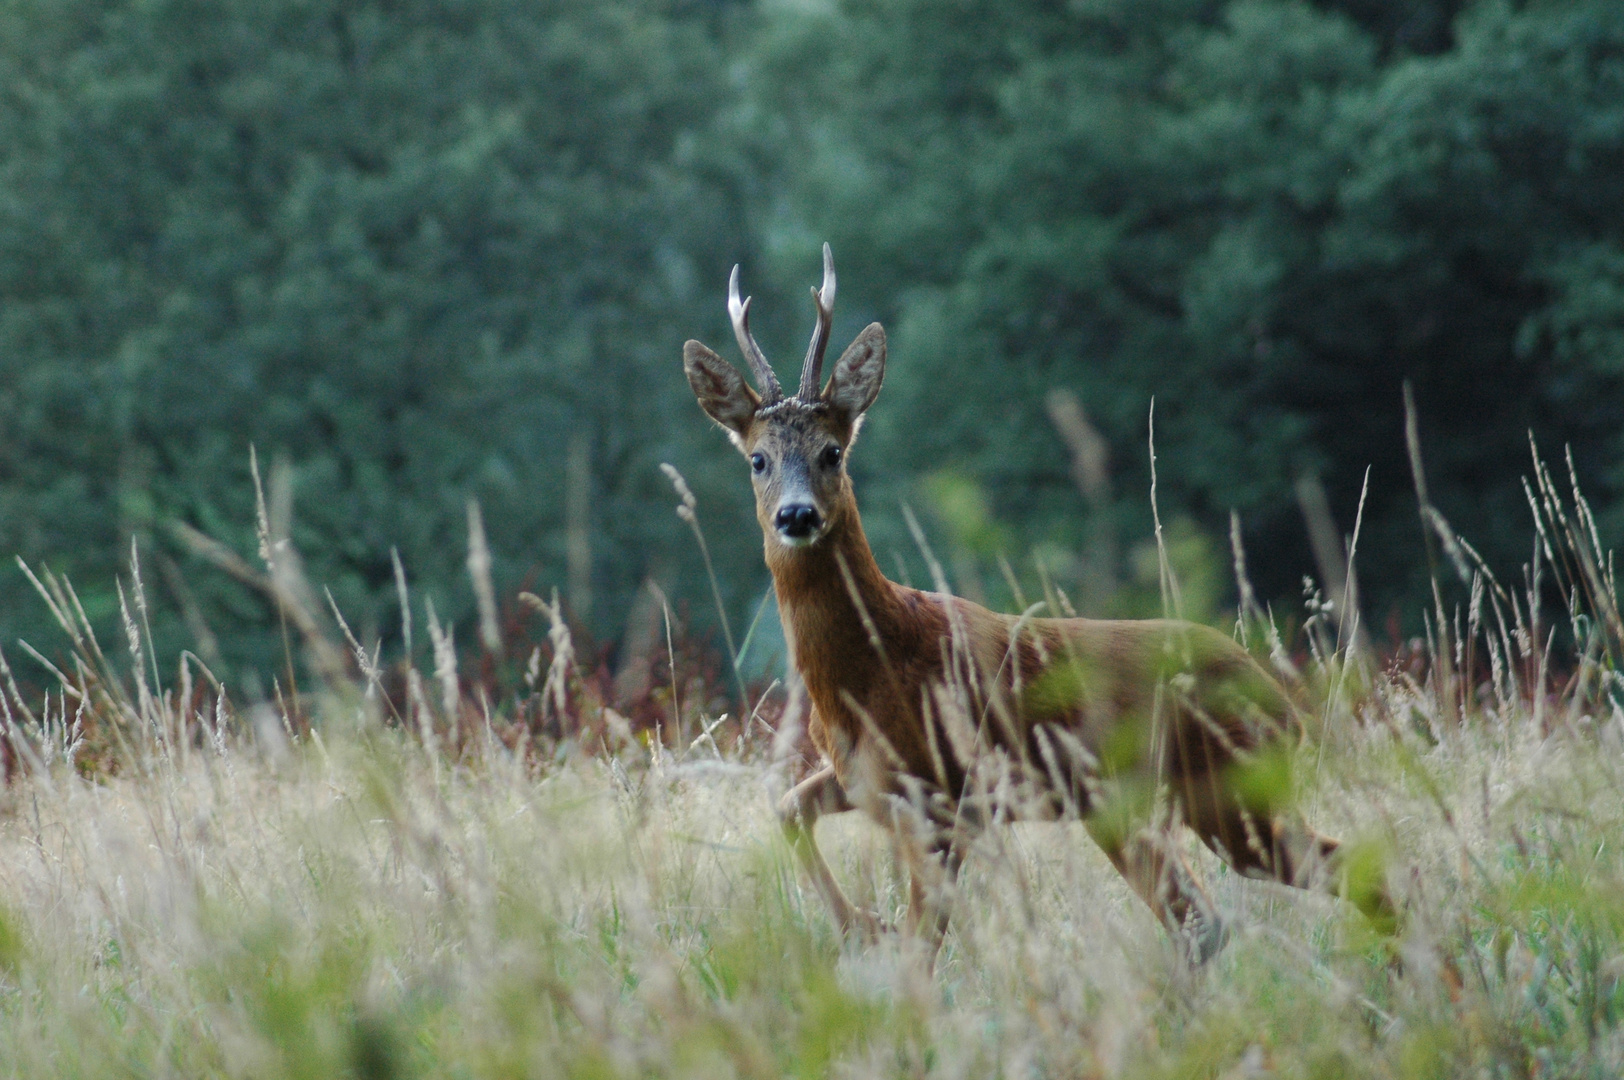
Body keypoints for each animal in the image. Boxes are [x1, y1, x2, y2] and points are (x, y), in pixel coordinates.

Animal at [682, 246, 1396, 961]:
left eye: (832, 451)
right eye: (757, 459)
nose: (796, 516)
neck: (870, 667)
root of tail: (1286, 701)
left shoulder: (947, 789)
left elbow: (923, 943)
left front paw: (872, 930)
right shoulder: (865, 780)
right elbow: (783, 807)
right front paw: (861, 922)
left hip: (1223, 787)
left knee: (1335, 877)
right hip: (1137, 805)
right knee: (1209, 917)